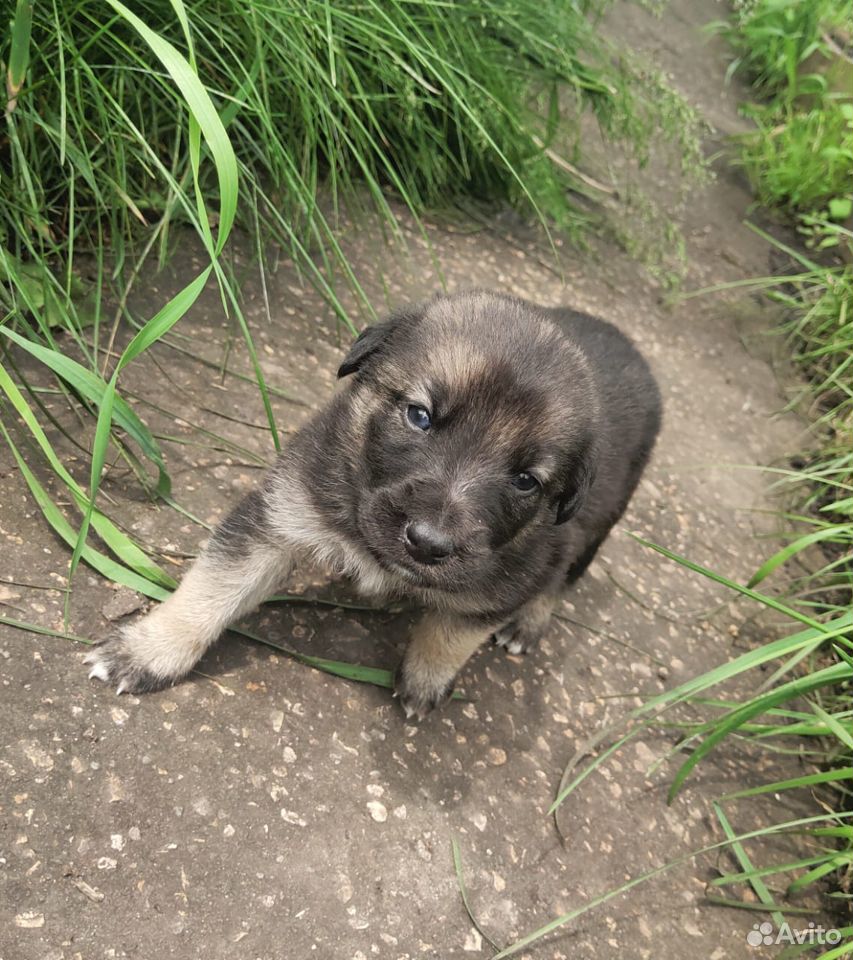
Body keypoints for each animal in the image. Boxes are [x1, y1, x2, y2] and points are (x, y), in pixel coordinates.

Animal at [85, 288, 660, 716]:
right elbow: (211, 589)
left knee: (564, 575)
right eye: (419, 415)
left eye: (525, 480)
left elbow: (451, 632)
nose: (428, 544)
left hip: (600, 519)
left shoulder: (508, 576)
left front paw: (423, 679)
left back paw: (529, 622)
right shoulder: (283, 513)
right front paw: (149, 650)